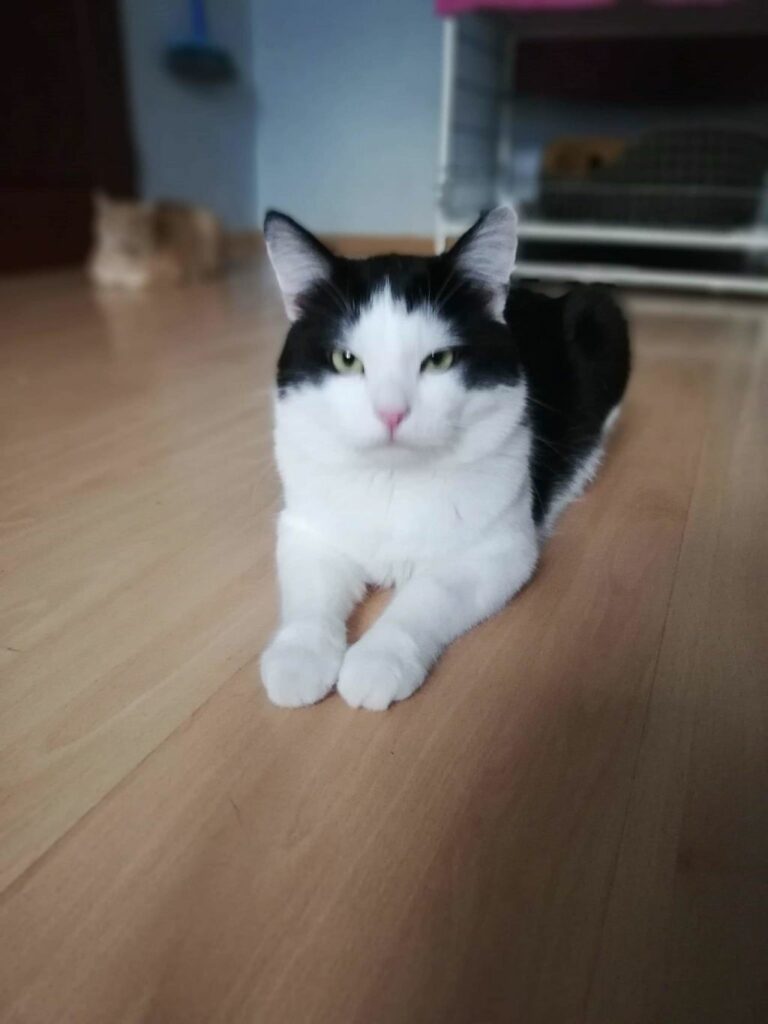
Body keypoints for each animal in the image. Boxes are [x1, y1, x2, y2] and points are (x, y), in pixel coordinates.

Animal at [260, 207, 630, 711]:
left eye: (439, 361)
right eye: (346, 360)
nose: (391, 412)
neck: (392, 478)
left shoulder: (499, 551)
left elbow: (426, 596)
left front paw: (379, 660)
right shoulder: (306, 528)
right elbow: (309, 596)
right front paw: (298, 657)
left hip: (600, 312)